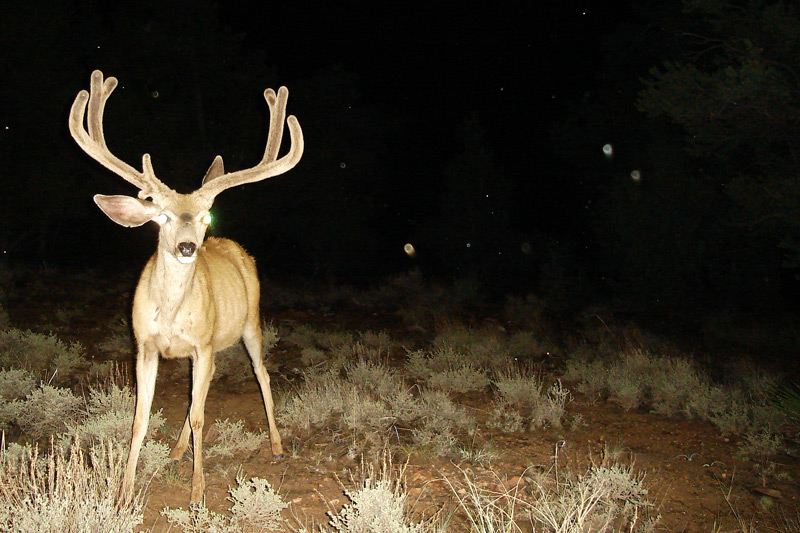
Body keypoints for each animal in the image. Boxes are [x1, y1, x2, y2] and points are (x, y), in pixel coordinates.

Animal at [69, 71, 304, 502]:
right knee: (204, 390)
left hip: (251, 322)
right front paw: (124, 490)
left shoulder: (201, 343)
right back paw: (178, 451)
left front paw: (197, 494)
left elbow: (198, 416)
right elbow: (141, 417)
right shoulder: (145, 345)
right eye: (160, 216)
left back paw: (277, 445)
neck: (170, 314)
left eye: (205, 216)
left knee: (259, 375)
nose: (187, 247)